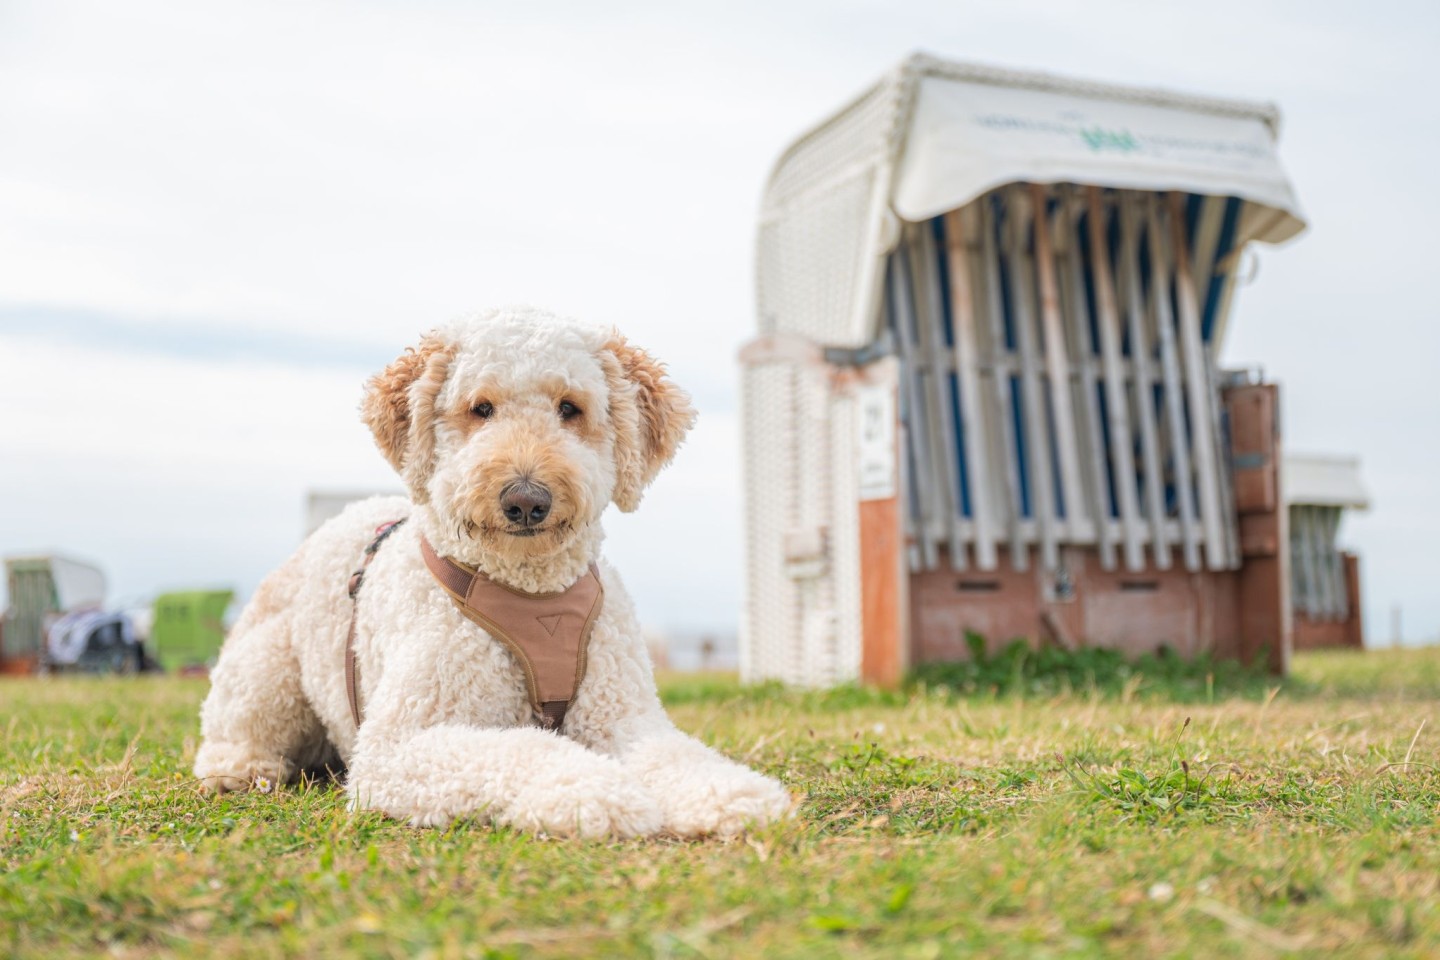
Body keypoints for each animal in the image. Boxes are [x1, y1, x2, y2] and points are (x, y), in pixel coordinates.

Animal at [191, 309, 789, 840]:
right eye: (481, 408)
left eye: (569, 407)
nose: (526, 500)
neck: (530, 593)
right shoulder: (400, 746)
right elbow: (527, 747)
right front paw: (593, 792)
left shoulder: (624, 717)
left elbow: (672, 754)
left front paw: (733, 793)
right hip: (266, 672)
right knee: (229, 734)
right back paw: (241, 768)